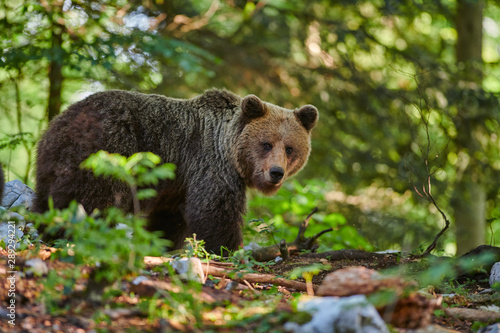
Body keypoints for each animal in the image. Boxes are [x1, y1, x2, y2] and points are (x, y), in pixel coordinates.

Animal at [33, 89, 318, 252]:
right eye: (266, 143)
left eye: (290, 148)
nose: (276, 172)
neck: (227, 146)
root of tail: (64, 120)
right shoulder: (210, 165)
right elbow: (214, 212)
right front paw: (228, 249)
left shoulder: (178, 182)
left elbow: (171, 219)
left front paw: (161, 244)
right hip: (106, 153)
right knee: (90, 201)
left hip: (54, 160)